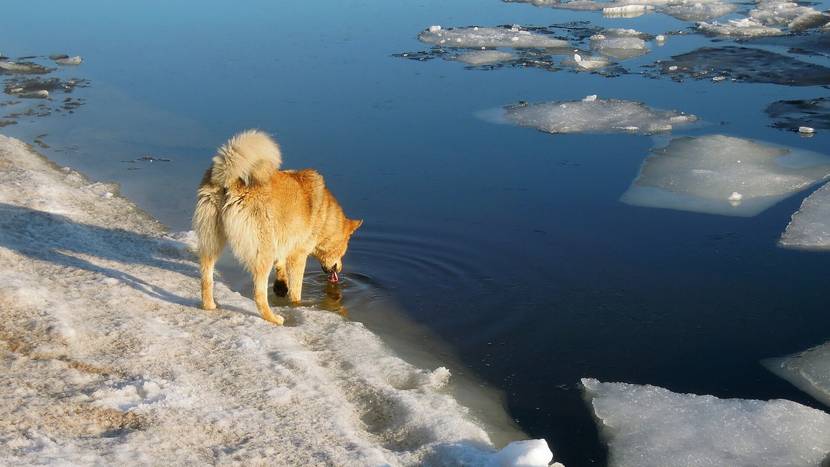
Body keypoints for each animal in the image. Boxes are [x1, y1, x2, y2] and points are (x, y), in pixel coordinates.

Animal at [197, 130, 366, 324]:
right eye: (344, 248)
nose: (339, 270)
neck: (324, 216)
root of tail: (230, 178)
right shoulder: (299, 255)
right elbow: (295, 289)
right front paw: (296, 304)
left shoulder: (284, 239)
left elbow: (281, 264)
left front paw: (280, 286)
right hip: (262, 251)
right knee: (259, 293)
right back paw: (274, 318)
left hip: (211, 241)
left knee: (206, 279)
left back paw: (209, 306)